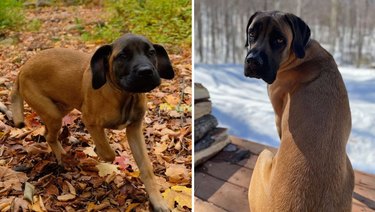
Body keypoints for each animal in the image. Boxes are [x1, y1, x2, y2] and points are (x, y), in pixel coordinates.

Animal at [11, 34, 174, 211]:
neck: (124, 96)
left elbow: (146, 168)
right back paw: (63, 158)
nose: (146, 71)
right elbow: (108, 153)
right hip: (53, 114)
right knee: (50, 136)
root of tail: (22, 70)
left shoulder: (134, 129)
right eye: (122, 56)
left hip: (61, 107)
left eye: (151, 52)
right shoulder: (90, 122)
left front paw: (158, 201)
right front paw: (97, 153)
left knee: (47, 132)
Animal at [244, 12, 356, 212]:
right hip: (349, 167)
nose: (253, 61)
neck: (300, 54)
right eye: (251, 33)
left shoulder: (278, 115)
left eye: (279, 40)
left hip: (263, 156)